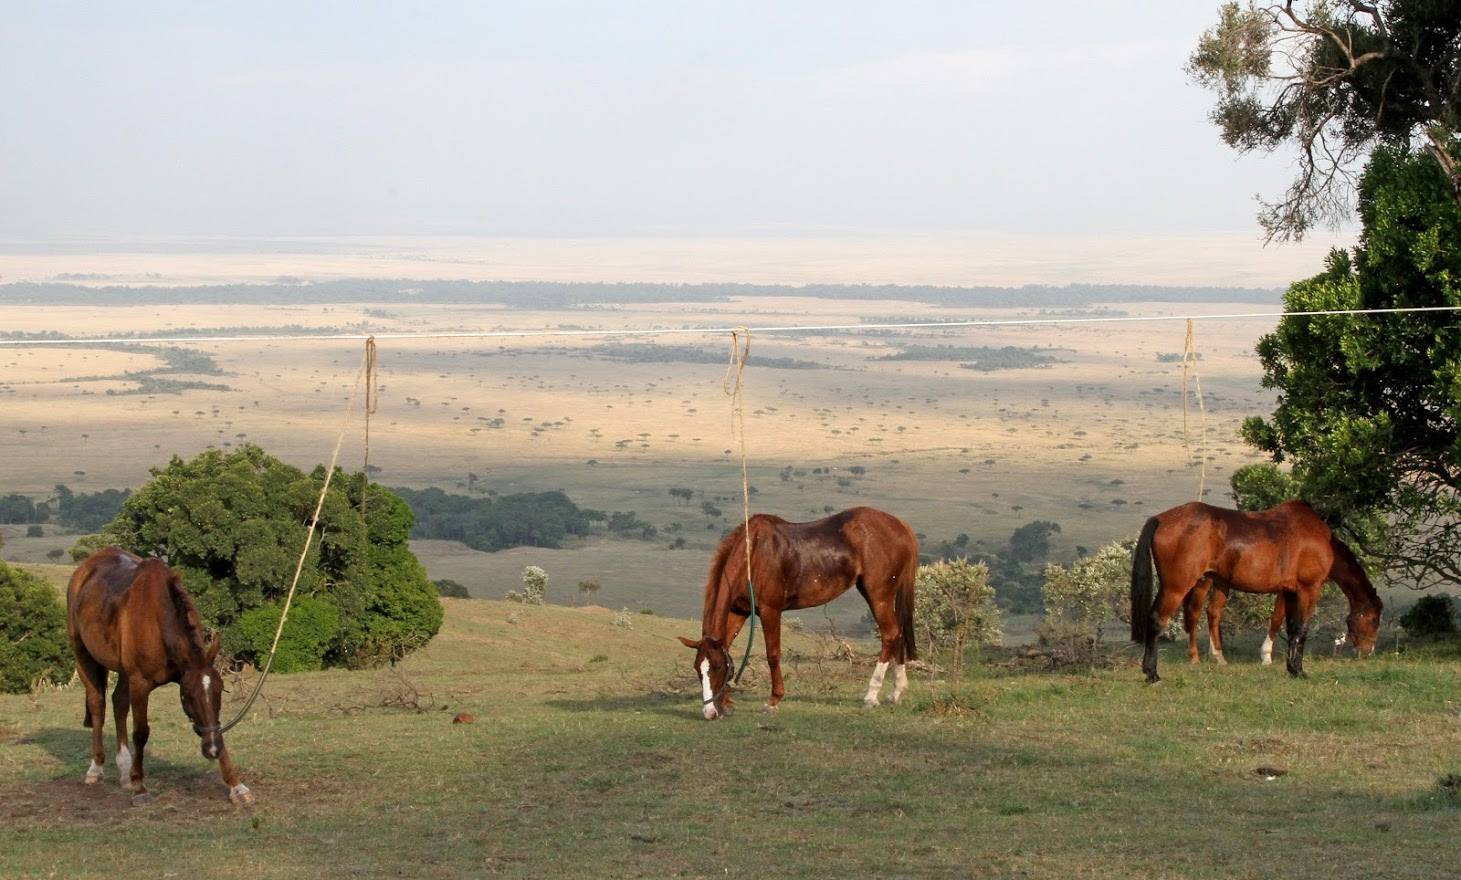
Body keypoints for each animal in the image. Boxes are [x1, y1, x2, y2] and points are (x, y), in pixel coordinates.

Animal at [67, 547, 252, 805]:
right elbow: (141, 732)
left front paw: (236, 785)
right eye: (188, 696)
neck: (156, 617)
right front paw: (139, 786)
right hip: (83, 655)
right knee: (97, 705)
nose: (212, 749)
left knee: (118, 703)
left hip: (123, 672)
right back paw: (96, 769)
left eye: (220, 691)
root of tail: (85, 569)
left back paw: (124, 770)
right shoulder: (140, 682)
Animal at [678, 506, 918, 720]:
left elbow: (773, 654)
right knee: (898, 634)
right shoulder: (739, 611)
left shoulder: (770, 610)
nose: (709, 713)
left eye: (717, 667)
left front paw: (774, 701)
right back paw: (896, 692)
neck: (752, 554)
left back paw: (871, 696)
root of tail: (901, 526)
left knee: (890, 634)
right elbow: (728, 646)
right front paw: (727, 703)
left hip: (878, 595)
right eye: (698, 669)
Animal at [1184, 535, 1382, 666]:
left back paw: (1216, 654)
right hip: (1203, 582)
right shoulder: (1287, 591)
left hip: (1220, 583)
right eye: (1373, 620)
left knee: (1212, 612)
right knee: (1196, 613)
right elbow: (1277, 619)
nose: (1369, 652)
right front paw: (1266, 657)